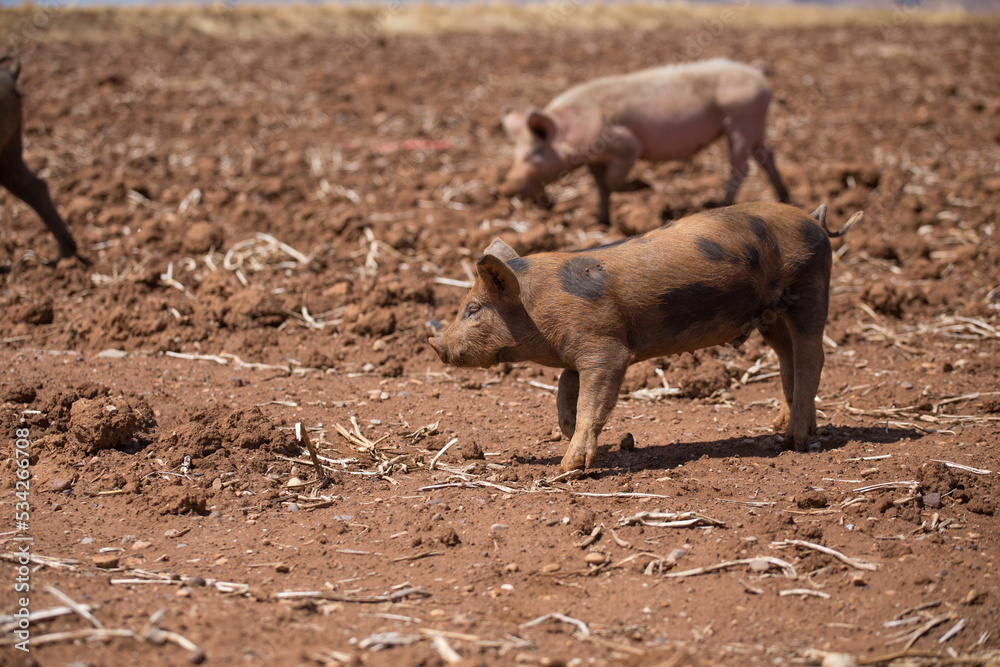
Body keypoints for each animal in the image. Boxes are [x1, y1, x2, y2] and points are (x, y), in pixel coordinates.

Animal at [429, 202, 862, 473]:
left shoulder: (606, 348)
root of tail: (814, 221)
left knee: (812, 355)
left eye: (473, 309)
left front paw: (565, 470)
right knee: (787, 356)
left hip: (809, 289)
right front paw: (574, 432)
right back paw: (781, 427)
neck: (537, 308)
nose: (436, 344)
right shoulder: (579, 352)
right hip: (769, 314)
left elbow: (590, 403)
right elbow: (566, 391)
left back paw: (795, 441)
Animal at [499, 58, 790, 227]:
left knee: (742, 167)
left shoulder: (625, 145)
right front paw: (602, 222)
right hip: (756, 124)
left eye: (534, 154)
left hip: (742, 121)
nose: (503, 188)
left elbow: (613, 181)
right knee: (768, 157)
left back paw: (718, 204)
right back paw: (784, 197)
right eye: (515, 154)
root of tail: (756, 72)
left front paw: (645, 186)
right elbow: (602, 187)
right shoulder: (595, 161)